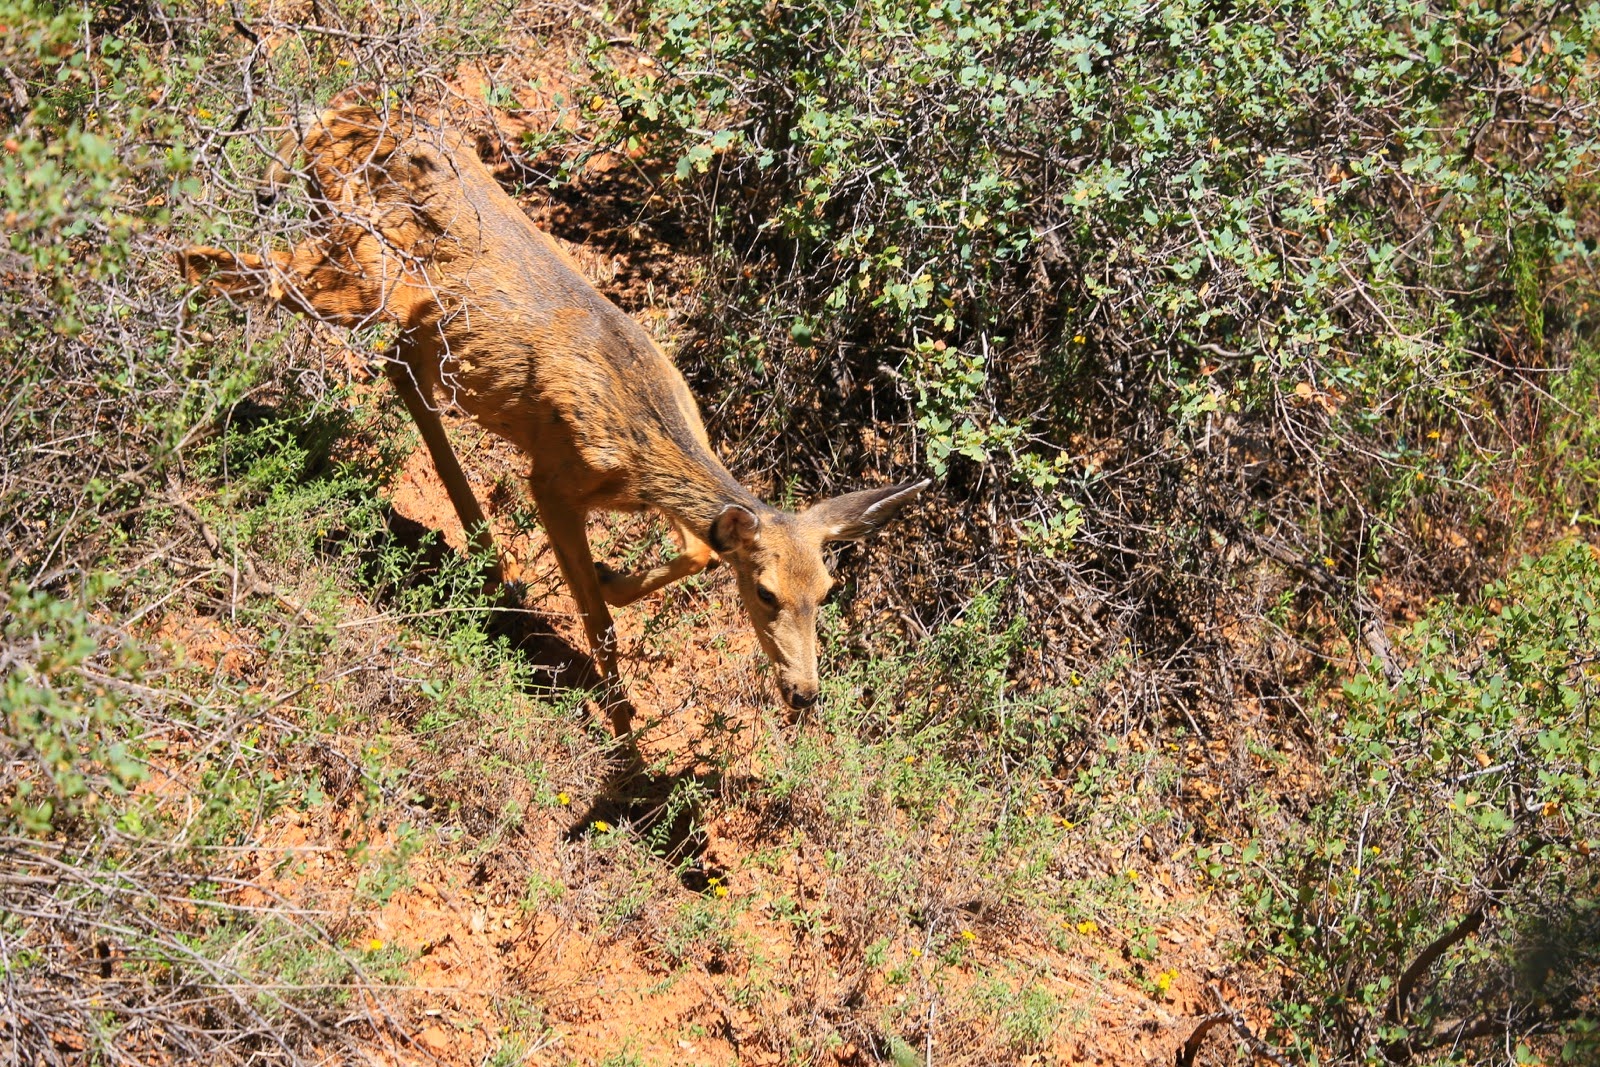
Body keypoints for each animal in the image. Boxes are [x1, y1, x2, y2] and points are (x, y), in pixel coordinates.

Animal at [178, 94, 928, 736]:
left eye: (826, 592)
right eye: (767, 593)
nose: (804, 693)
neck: (642, 436)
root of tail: (336, 114)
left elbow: (694, 547)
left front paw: (612, 578)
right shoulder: (554, 477)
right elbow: (600, 622)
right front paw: (623, 729)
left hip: (408, 309)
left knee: (387, 360)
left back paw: (484, 549)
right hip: (365, 267)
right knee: (248, 270)